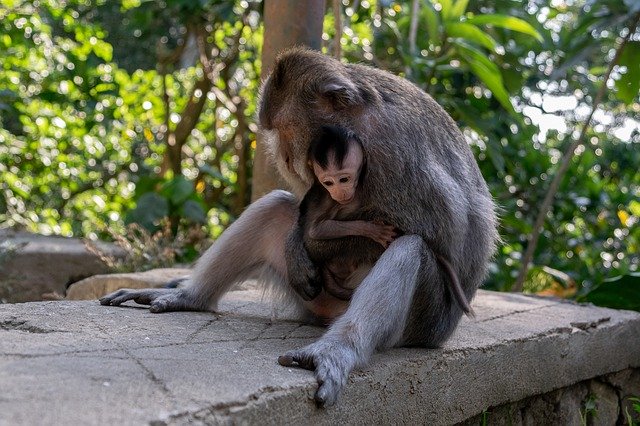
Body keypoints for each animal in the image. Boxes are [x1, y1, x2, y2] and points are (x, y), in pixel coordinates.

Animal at [101, 47, 500, 406]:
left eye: (286, 129)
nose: (286, 158)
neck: (360, 114)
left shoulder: (394, 153)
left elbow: (445, 232)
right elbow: (306, 209)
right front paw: (297, 243)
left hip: (422, 323)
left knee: (410, 249)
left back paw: (337, 349)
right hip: (314, 300)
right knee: (275, 206)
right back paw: (189, 297)